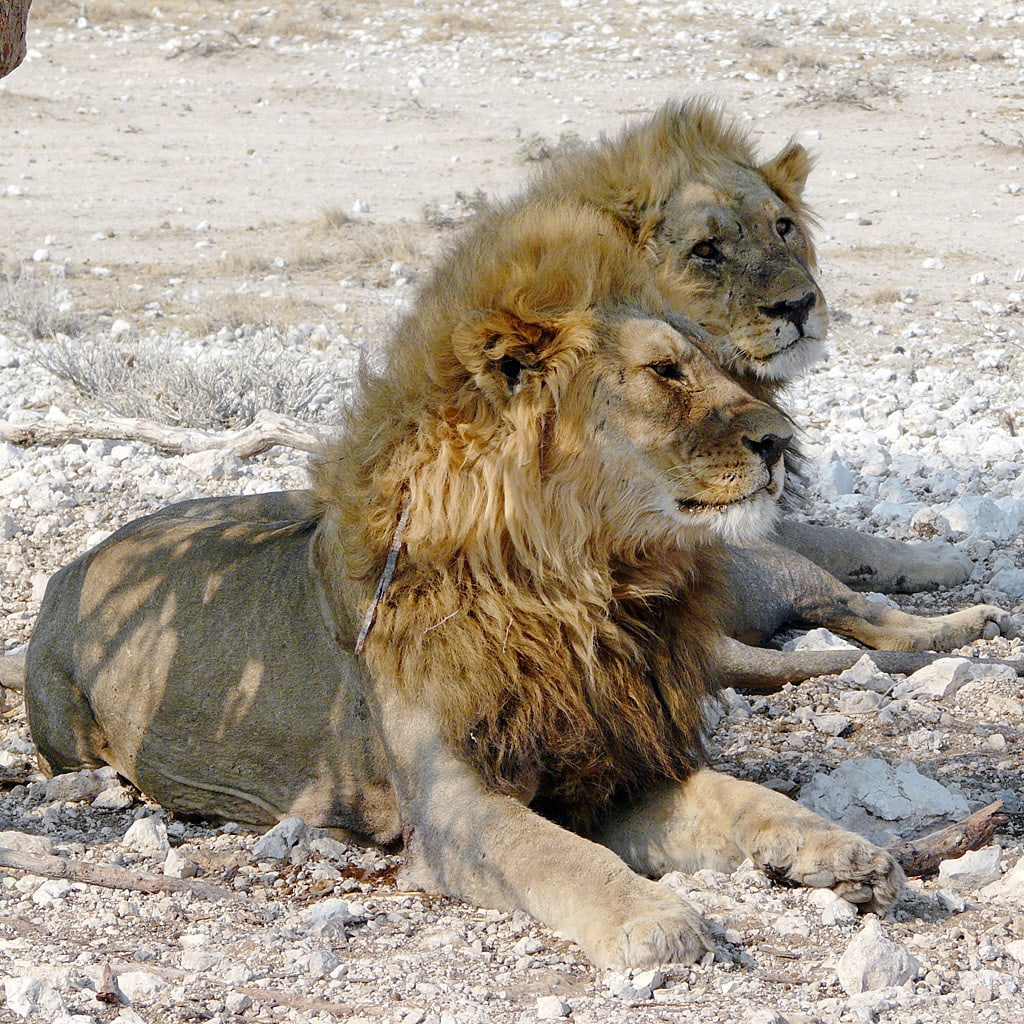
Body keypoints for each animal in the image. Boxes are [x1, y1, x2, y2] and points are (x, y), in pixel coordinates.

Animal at [25, 201, 903, 970]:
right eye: (663, 373)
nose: (782, 442)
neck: (580, 584)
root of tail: (74, 569)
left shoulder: (615, 770)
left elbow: (741, 797)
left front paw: (842, 849)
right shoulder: (453, 807)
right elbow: (556, 855)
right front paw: (653, 918)